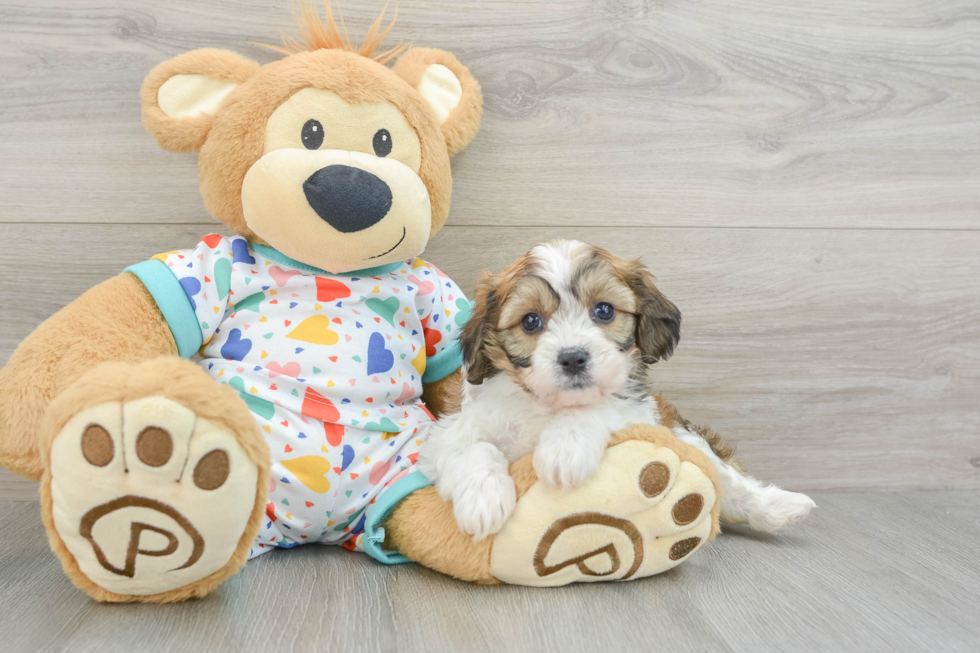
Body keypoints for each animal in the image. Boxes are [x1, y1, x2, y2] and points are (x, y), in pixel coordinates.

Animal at [418, 239, 816, 540]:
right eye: (530, 320)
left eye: (605, 311)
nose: (573, 358)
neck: (549, 406)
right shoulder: (449, 431)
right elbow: (473, 448)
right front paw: (483, 500)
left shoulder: (640, 410)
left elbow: (601, 408)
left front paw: (565, 449)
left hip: (685, 434)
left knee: (729, 480)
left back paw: (780, 508)